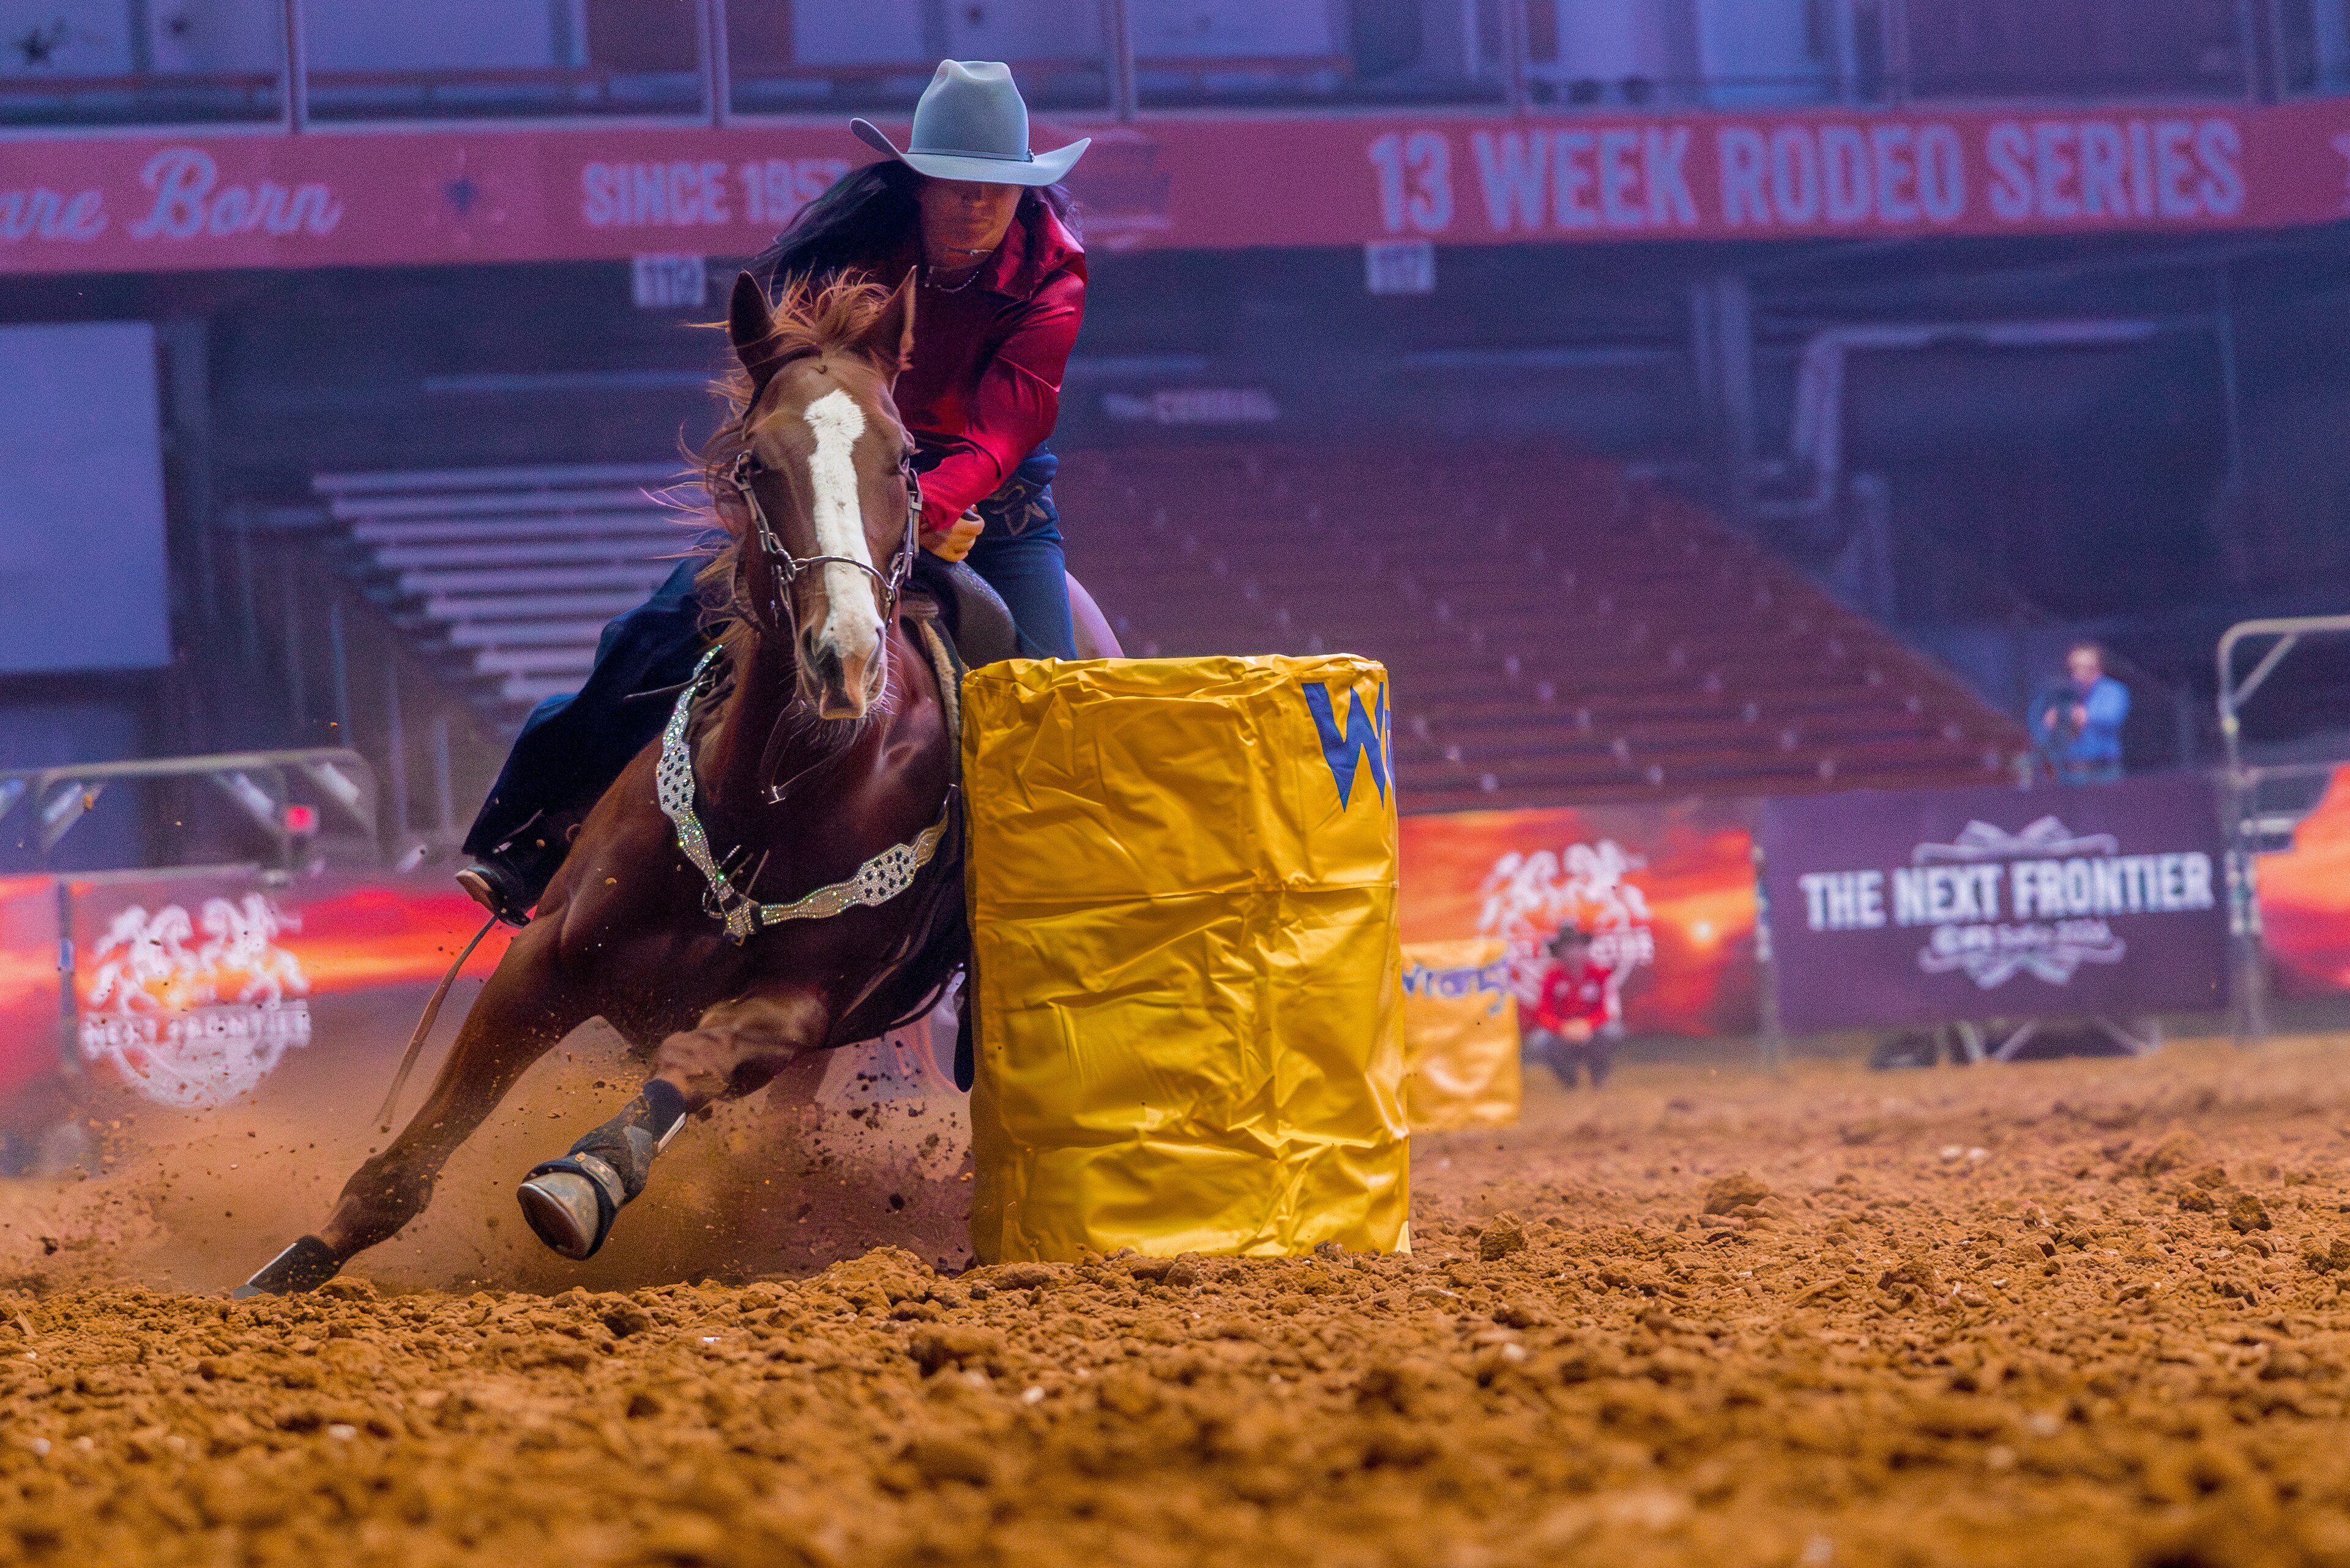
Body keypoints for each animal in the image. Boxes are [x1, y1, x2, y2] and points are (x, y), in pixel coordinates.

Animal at [239, 270, 997, 1295]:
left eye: (907, 458)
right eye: (758, 461)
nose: (843, 656)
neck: (774, 797)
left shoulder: (799, 1010)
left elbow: (695, 1054)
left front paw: (586, 1177)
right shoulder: (545, 958)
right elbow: (413, 1159)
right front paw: (286, 1270)